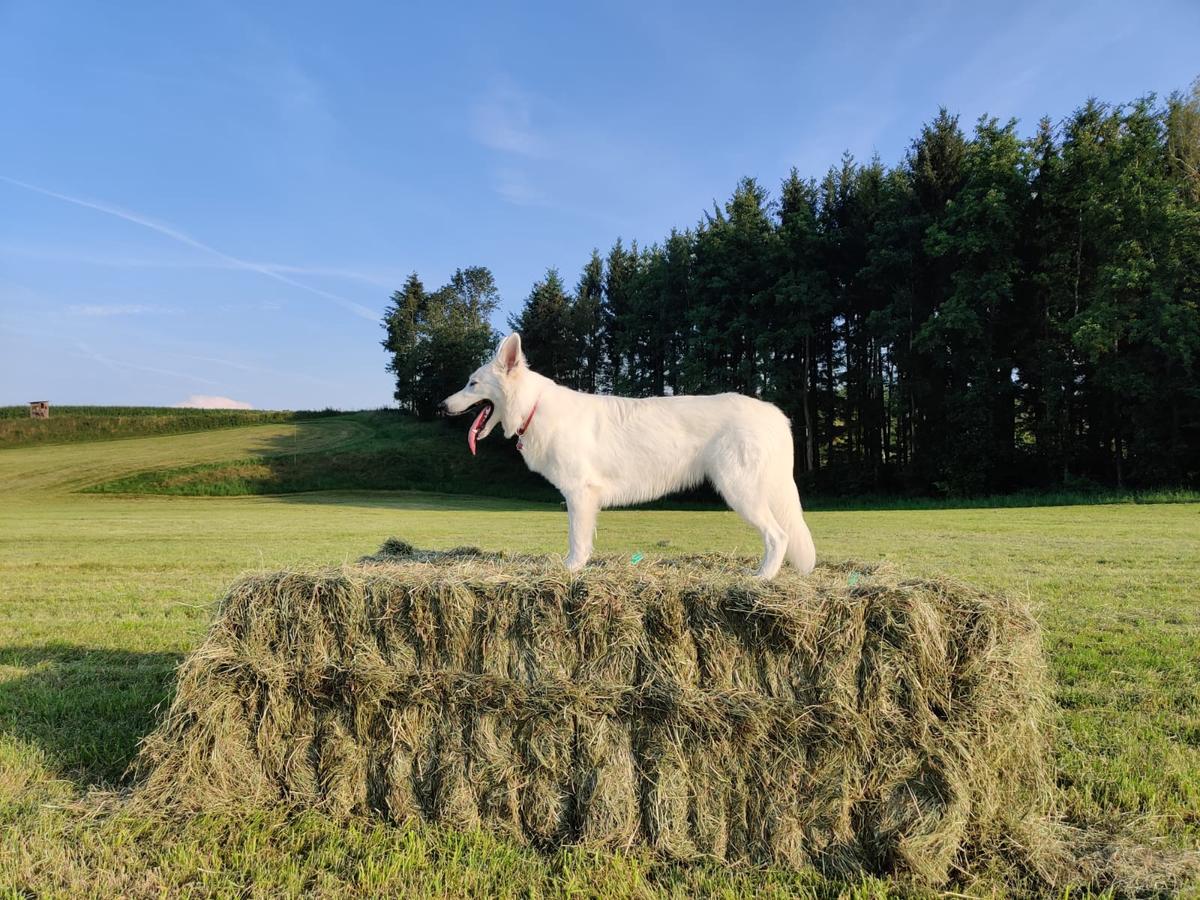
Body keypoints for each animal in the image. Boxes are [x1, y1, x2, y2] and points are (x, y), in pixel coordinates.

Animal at [441, 336, 816, 580]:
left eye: (472, 384)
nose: (442, 406)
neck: (534, 406)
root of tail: (773, 414)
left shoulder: (579, 495)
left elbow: (577, 541)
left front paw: (570, 570)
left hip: (741, 491)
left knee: (779, 536)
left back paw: (762, 578)